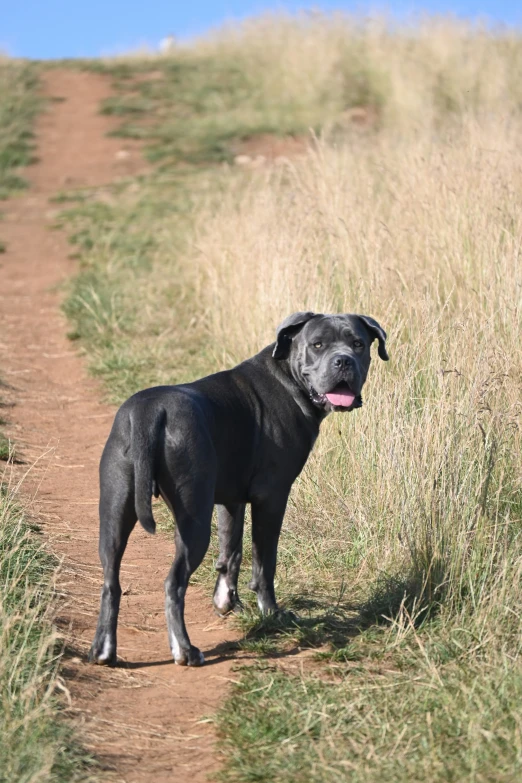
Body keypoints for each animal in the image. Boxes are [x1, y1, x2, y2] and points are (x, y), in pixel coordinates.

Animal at [88, 312, 386, 668]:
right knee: (173, 583)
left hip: (115, 511)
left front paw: (226, 603)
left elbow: (231, 551)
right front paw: (271, 613)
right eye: (317, 345)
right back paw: (185, 650)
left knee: (111, 581)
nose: (343, 361)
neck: (288, 378)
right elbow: (264, 561)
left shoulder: (229, 500)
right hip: (193, 520)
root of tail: (150, 413)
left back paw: (104, 651)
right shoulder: (271, 497)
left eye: (358, 343)